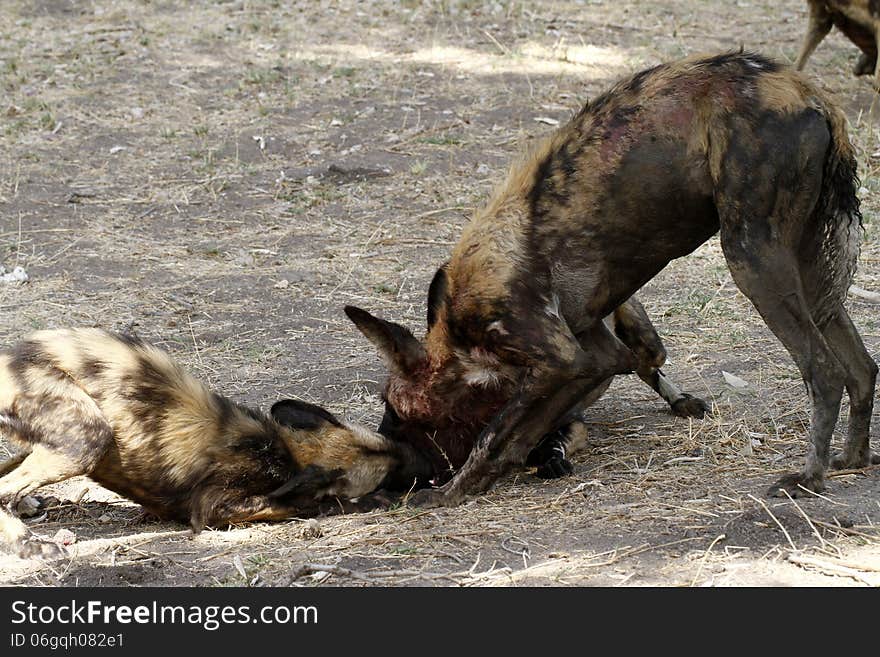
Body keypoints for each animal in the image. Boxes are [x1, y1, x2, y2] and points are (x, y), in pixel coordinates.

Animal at [0, 328, 430, 560]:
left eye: (389, 444)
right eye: (389, 471)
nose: (421, 458)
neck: (283, 452)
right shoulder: (213, 507)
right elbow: (304, 504)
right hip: (87, 439)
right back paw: (30, 545)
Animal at [348, 51, 876, 508]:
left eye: (395, 408)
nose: (389, 454)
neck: (458, 335)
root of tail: (806, 88)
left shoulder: (561, 360)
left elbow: (492, 435)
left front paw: (448, 494)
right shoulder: (595, 357)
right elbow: (521, 436)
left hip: (752, 258)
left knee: (825, 371)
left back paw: (809, 478)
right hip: (804, 268)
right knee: (861, 367)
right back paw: (852, 459)